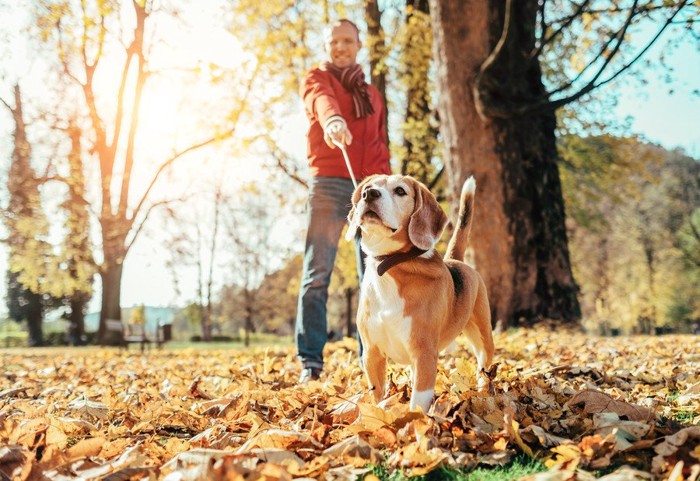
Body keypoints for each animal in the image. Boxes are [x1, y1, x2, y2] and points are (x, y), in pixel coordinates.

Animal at [348, 174, 494, 410]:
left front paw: (415, 420)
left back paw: (483, 392)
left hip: (483, 335)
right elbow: (377, 396)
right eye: (367, 188)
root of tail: (454, 260)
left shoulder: (424, 353)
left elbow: (417, 404)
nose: (369, 194)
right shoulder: (372, 354)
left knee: (484, 366)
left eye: (400, 191)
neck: (389, 265)